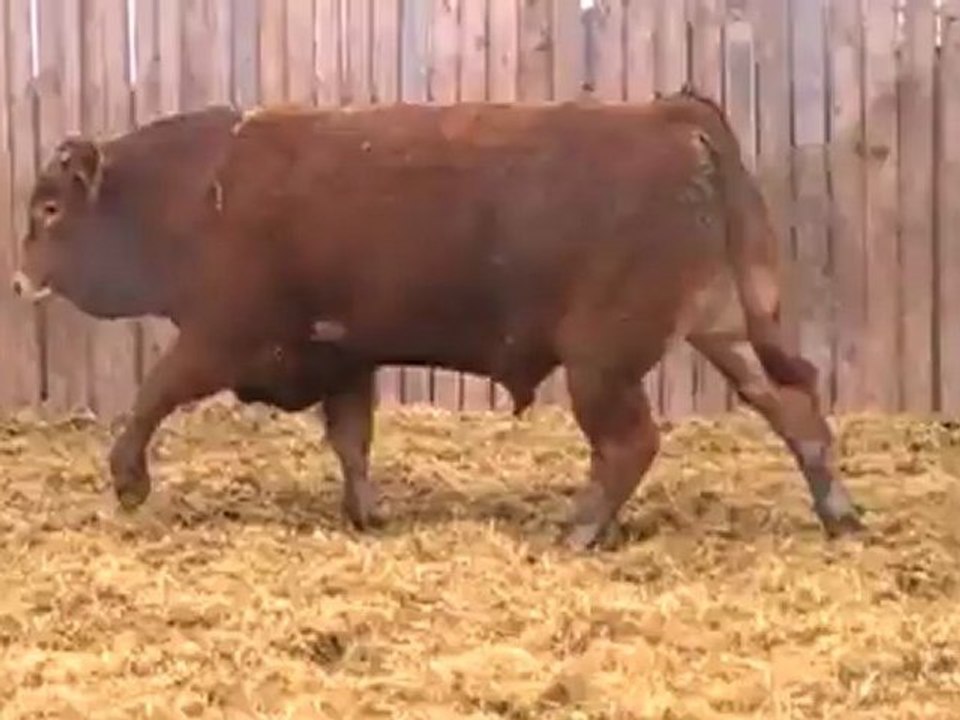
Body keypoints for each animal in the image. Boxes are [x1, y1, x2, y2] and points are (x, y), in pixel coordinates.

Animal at [11, 89, 865, 549]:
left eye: (50, 209)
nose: (19, 281)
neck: (197, 189)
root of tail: (670, 114)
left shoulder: (220, 339)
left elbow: (152, 394)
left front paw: (128, 482)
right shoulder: (345, 357)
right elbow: (351, 439)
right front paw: (368, 512)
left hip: (600, 364)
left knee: (630, 444)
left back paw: (578, 530)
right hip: (727, 331)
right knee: (793, 407)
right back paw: (840, 513)